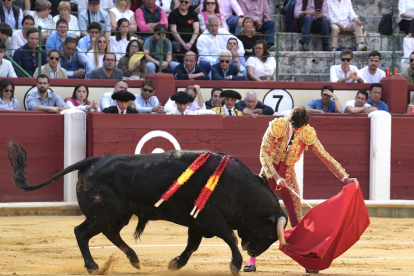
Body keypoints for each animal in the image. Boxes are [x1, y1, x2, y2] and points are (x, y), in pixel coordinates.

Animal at [8, 141, 290, 274]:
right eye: (268, 233)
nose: (252, 250)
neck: (238, 186)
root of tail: (93, 160)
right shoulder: (210, 218)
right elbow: (229, 237)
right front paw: (235, 265)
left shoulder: (197, 222)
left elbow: (192, 245)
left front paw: (175, 263)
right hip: (105, 213)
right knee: (82, 232)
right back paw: (93, 266)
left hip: (118, 214)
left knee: (111, 233)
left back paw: (134, 260)